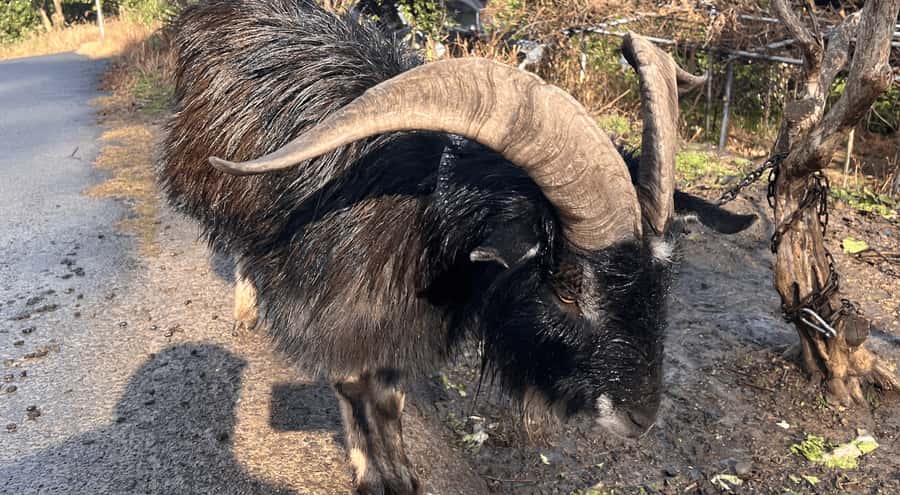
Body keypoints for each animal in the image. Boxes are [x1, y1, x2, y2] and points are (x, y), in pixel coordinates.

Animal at [160, 1, 754, 493]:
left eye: (664, 277)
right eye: (565, 289)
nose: (642, 418)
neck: (421, 211)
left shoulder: (400, 320)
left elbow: (390, 395)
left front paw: (399, 473)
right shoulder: (336, 312)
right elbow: (354, 389)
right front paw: (375, 476)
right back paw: (246, 309)